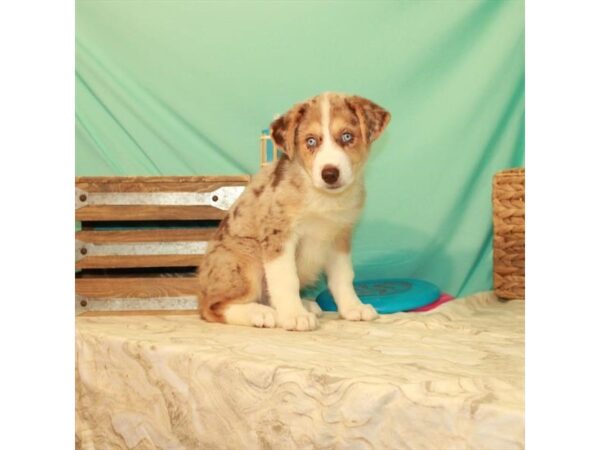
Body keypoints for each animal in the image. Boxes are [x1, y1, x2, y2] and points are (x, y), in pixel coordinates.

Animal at [199, 92, 392, 330]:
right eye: (311, 141)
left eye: (347, 136)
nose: (330, 174)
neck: (323, 198)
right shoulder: (279, 235)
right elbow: (286, 279)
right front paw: (294, 315)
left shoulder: (339, 237)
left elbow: (343, 277)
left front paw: (353, 308)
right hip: (246, 255)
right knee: (211, 307)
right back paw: (261, 313)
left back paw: (302, 305)